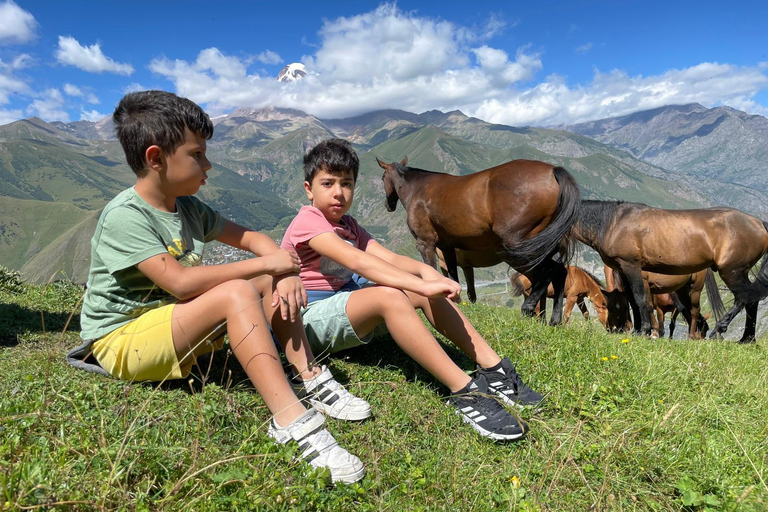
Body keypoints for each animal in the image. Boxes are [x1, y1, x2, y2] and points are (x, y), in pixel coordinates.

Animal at [576, 202, 768, 342]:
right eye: (606, 307)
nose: (615, 330)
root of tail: (758, 223)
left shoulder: (642, 280)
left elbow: (645, 303)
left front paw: (648, 332)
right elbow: (636, 302)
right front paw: (643, 330)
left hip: (730, 272)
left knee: (741, 298)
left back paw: (717, 331)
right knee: (750, 300)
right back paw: (746, 339)